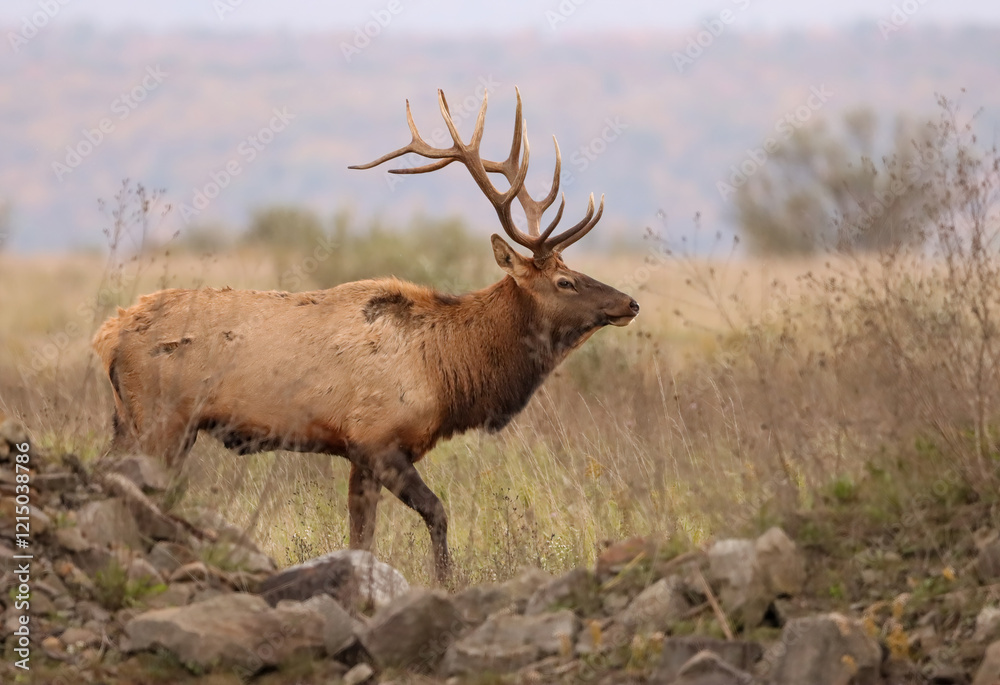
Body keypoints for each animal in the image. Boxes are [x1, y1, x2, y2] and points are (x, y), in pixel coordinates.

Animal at [92, 88, 638, 581]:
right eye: (565, 282)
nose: (629, 303)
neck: (447, 369)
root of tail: (107, 336)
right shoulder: (378, 438)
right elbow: (437, 513)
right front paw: (445, 582)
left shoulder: (358, 452)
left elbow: (361, 537)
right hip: (160, 419)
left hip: (132, 420)